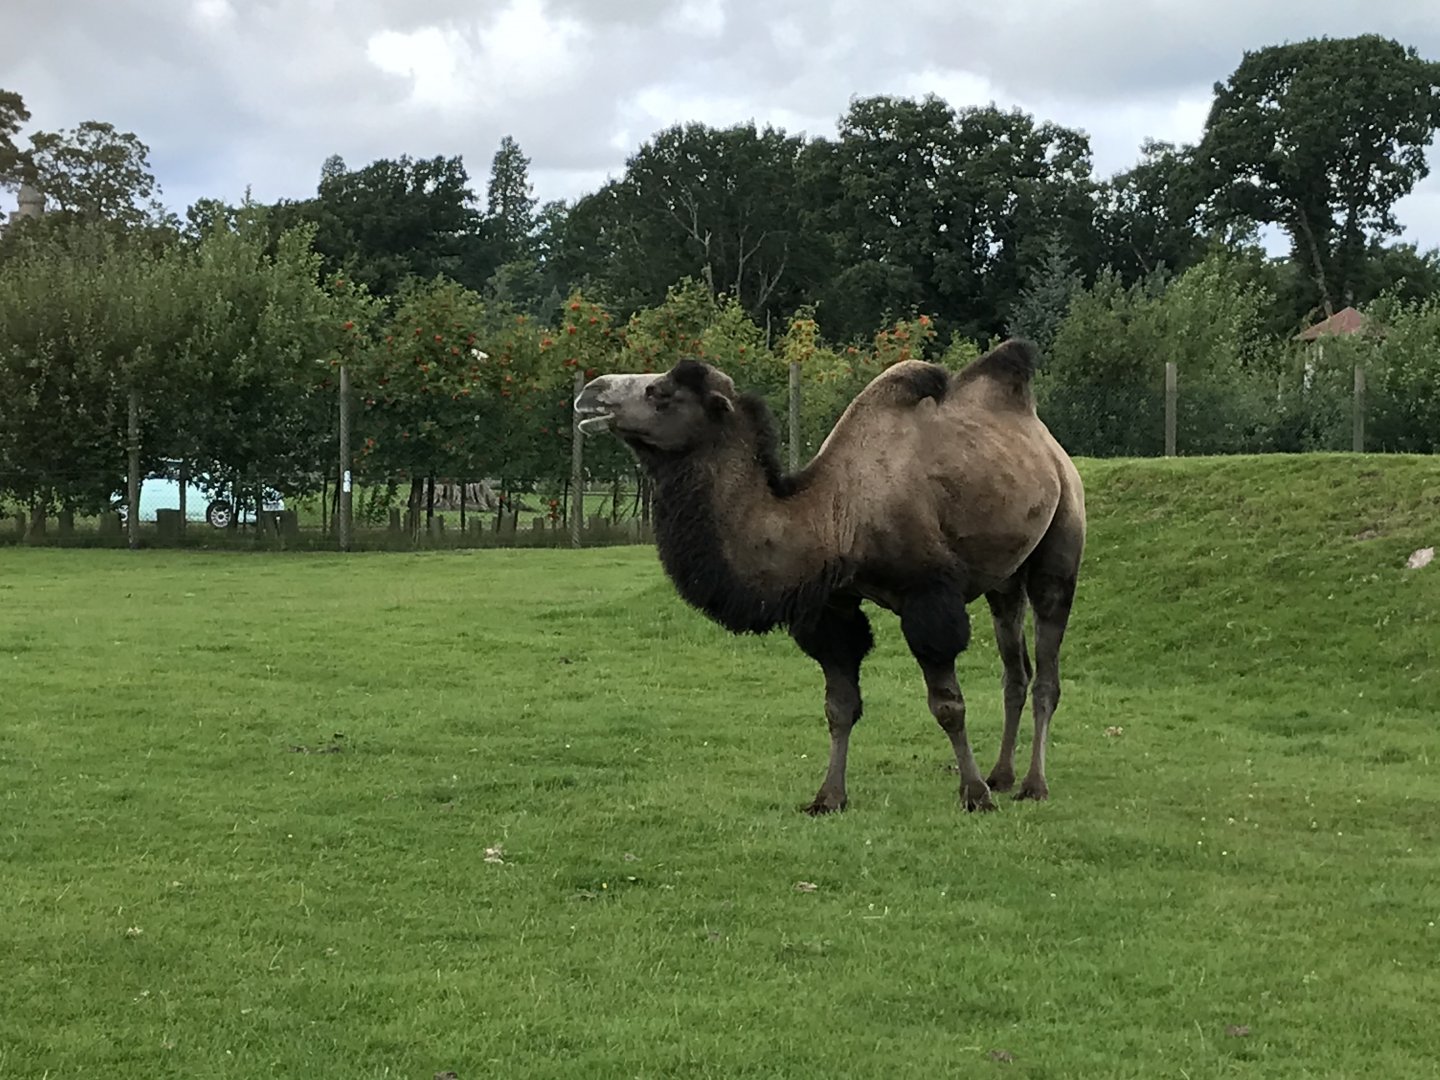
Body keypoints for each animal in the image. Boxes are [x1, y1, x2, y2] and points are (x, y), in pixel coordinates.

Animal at [573, 339, 1085, 814]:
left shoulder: (928, 596)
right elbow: (839, 707)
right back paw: (1003, 774)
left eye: (661, 392)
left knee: (1046, 672)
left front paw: (975, 794)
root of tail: (1048, 445)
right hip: (1004, 579)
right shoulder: (832, 604)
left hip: (1061, 541)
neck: (835, 516)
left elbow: (947, 705)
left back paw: (1032, 785)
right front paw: (828, 797)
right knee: (1014, 671)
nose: (588, 394)